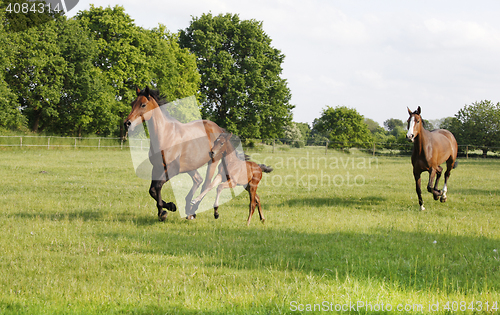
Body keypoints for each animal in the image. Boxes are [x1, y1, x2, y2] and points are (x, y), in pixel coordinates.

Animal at [124, 85, 226, 221]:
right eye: (132, 103)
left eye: (143, 105)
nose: (127, 123)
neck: (165, 135)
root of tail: (218, 129)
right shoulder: (156, 168)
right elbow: (152, 190)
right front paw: (167, 208)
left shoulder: (172, 169)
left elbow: (157, 186)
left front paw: (164, 211)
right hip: (190, 165)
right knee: (198, 180)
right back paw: (189, 209)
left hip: (212, 162)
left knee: (206, 185)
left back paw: (193, 210)